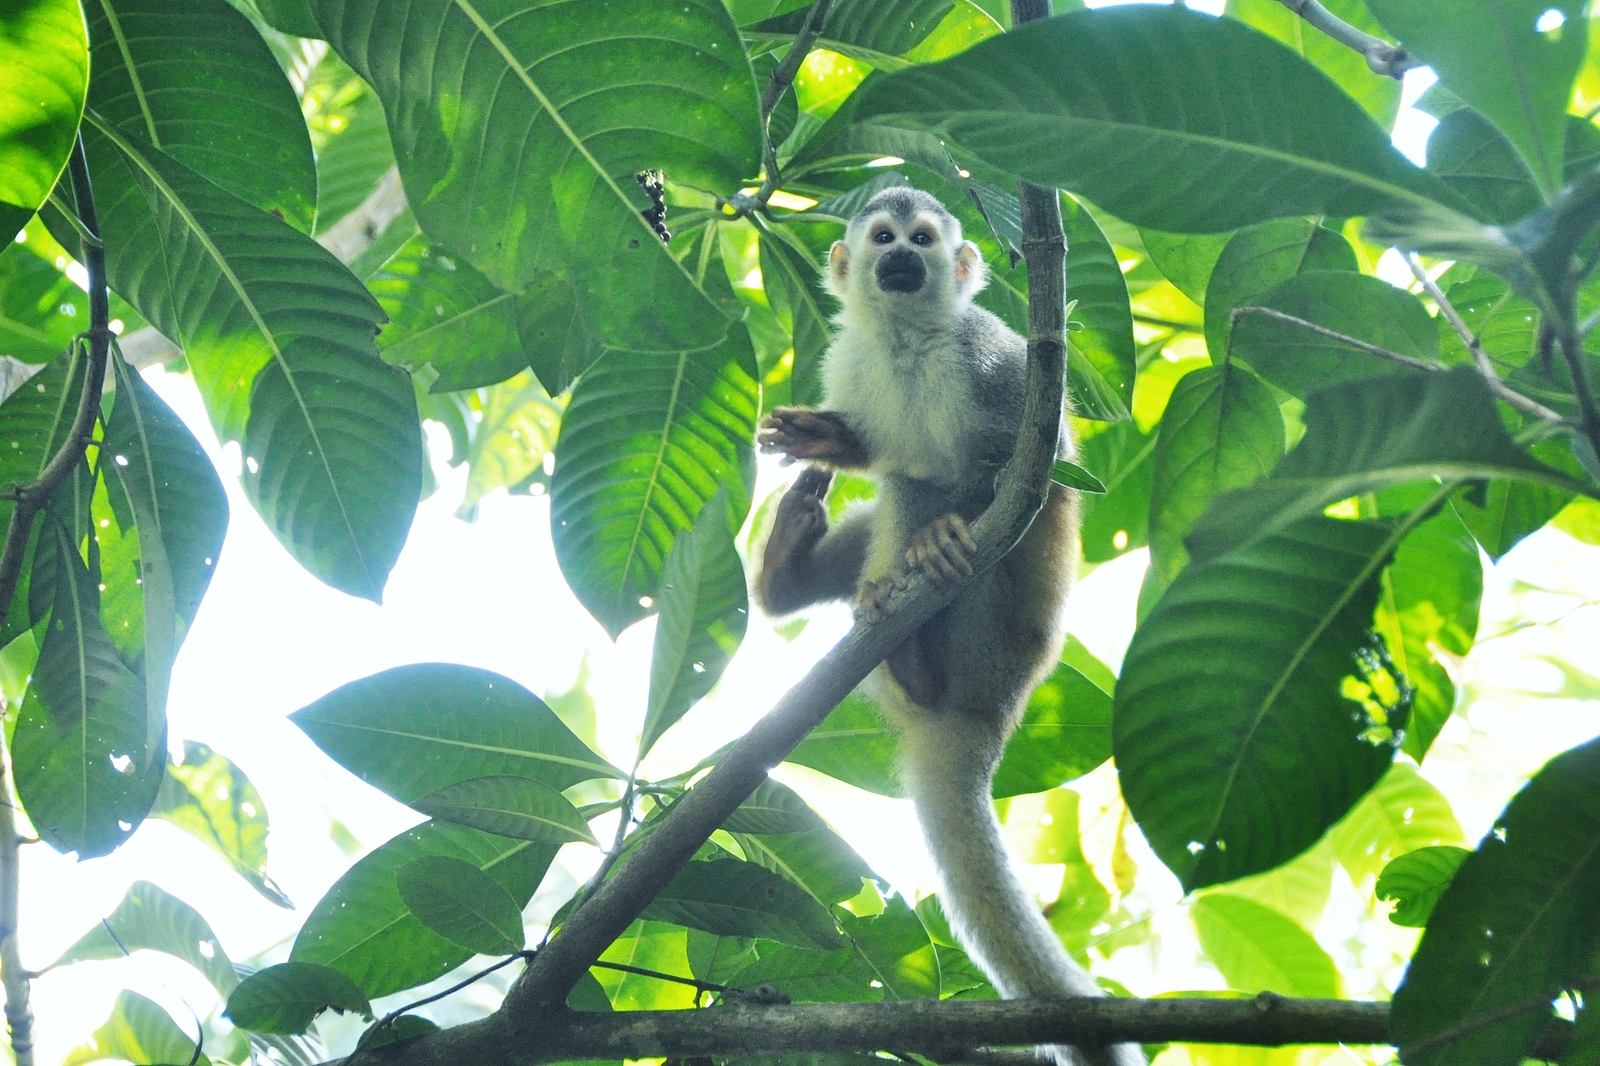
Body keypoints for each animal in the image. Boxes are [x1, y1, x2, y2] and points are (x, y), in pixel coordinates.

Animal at [756, 187, 1144, 1066]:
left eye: (924, 240)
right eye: (884, 238)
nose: (903, 259)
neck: (906, 338)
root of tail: (992, 716)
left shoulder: (994, 354)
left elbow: (1025, 466)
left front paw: (945, 528)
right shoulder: (850, 357)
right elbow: (880, 449)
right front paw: (829, 438)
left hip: (993, 639)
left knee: (934, 494)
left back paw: (919, 645)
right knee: (902, 483)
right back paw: (791, 577)